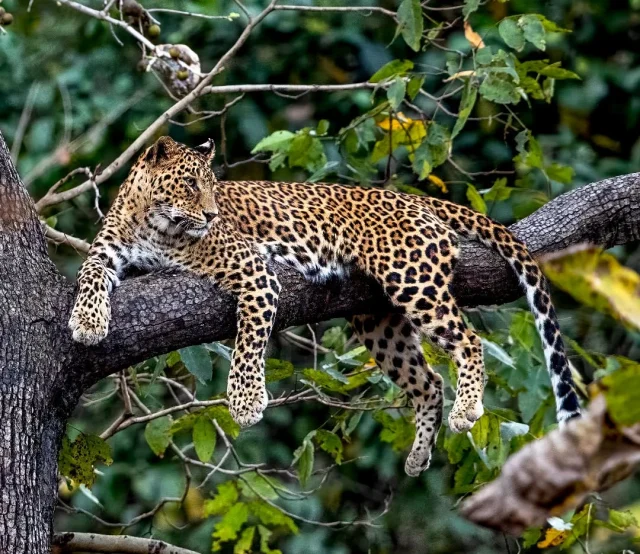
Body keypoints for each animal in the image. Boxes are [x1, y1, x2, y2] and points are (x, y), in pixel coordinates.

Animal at [69, 136, 581, 476]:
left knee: (469, 340)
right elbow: (89, 277)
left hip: (411, 279)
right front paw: (87, 321)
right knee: (429, 381)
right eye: (192, 184)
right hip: (379, 321)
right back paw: (419, 455)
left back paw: (466, 410)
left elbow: (248, 340)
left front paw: (245, 401)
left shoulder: (254, 270)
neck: (150, 221)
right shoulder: (106, 253)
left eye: (213, 186)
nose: (212, 215)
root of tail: (411, 198)